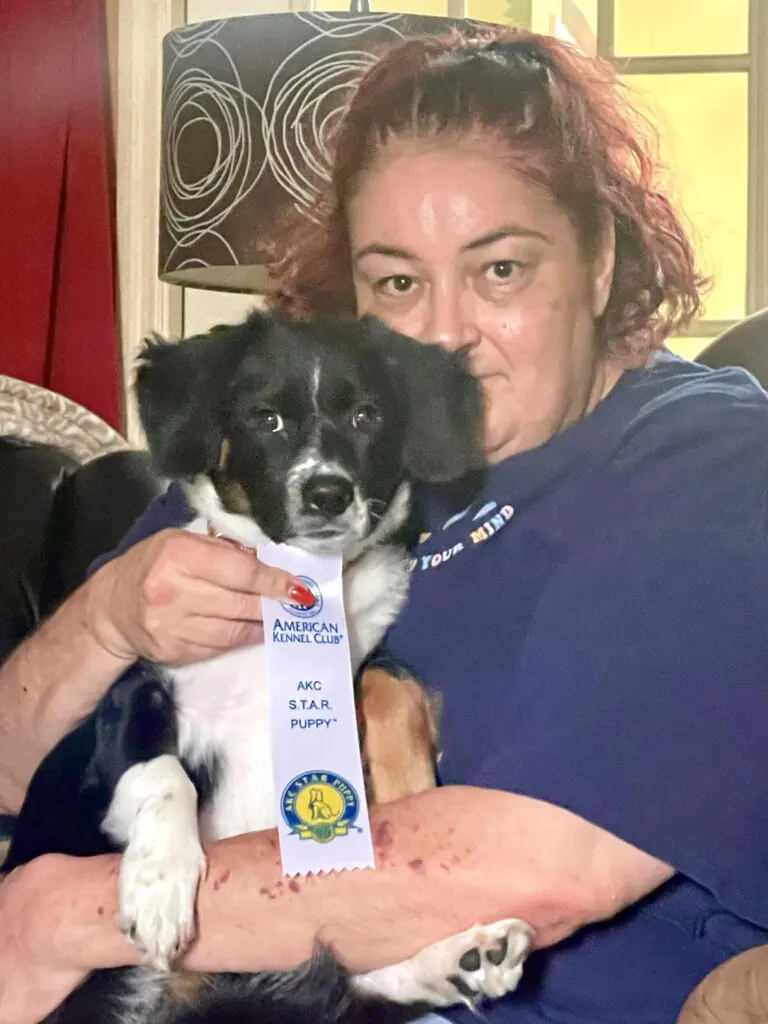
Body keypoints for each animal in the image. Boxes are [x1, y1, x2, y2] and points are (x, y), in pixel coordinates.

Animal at [6, 311, 536, 1024]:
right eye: (267, 419)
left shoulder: (365, 660)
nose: (328, 493)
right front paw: (159, 883)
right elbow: (164, 775)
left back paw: (466, 956)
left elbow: (391, 683)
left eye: (366, 416)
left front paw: (408, 782)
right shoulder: (130, 692)